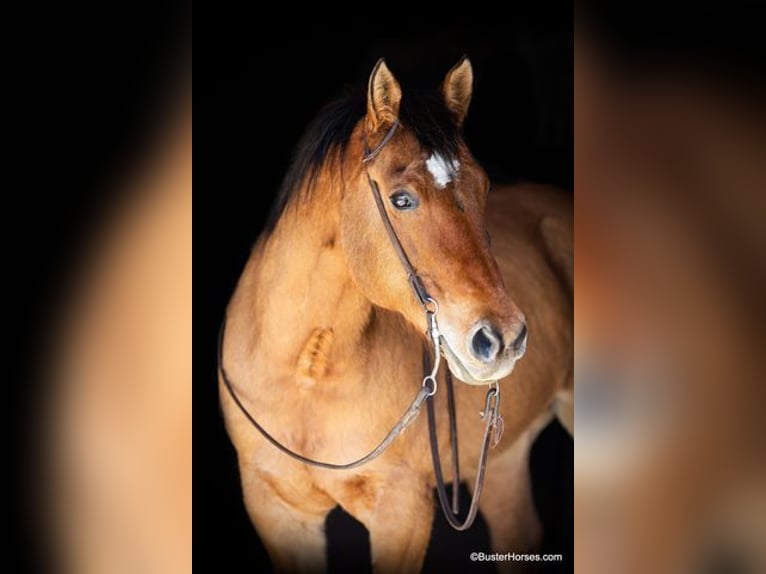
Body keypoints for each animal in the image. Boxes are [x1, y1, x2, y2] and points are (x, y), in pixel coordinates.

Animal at [219, 56, 572, 572]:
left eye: (484, 186)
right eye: (401, 199)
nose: (503, 338)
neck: (305, 377)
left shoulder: (402, 511)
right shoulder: (276, 509)